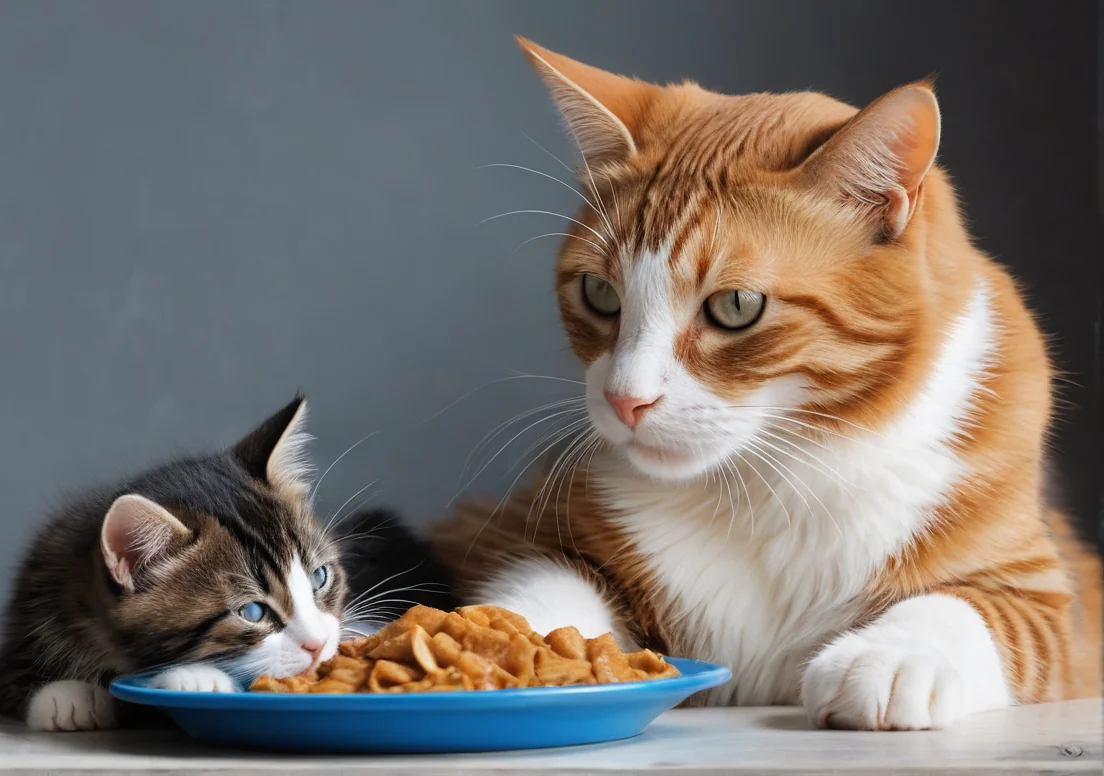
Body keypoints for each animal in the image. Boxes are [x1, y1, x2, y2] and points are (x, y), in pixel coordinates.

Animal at [434, 39, 1099, 732]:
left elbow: (969, 610)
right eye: (600, 293)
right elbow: (539, 584)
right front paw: (492, 650)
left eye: (736, 307)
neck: (770, 482)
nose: (625, 399)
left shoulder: (1048, 599)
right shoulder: (515, 531)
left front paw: (892, 658)